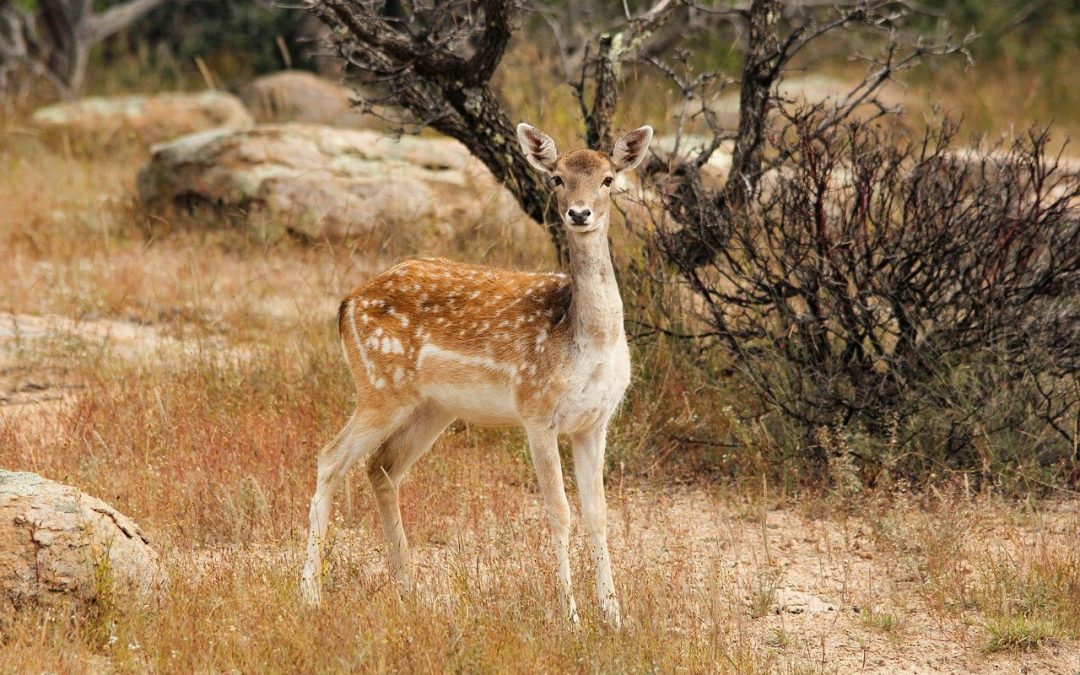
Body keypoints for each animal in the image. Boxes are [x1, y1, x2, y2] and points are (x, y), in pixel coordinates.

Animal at [300, 122, 656, 626]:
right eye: (557, 178)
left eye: (609, 179)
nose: (579, 213)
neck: (585, 342)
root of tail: (346, 303)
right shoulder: (536, 410)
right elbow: (559, 510)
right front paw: (571, 617)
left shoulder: (595, 421)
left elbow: (598, 513)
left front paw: (614, 617)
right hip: (379, 386)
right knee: (330, 458)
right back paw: (309, 594)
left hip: (432, 408)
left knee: (382, 467)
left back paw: (409, 590)